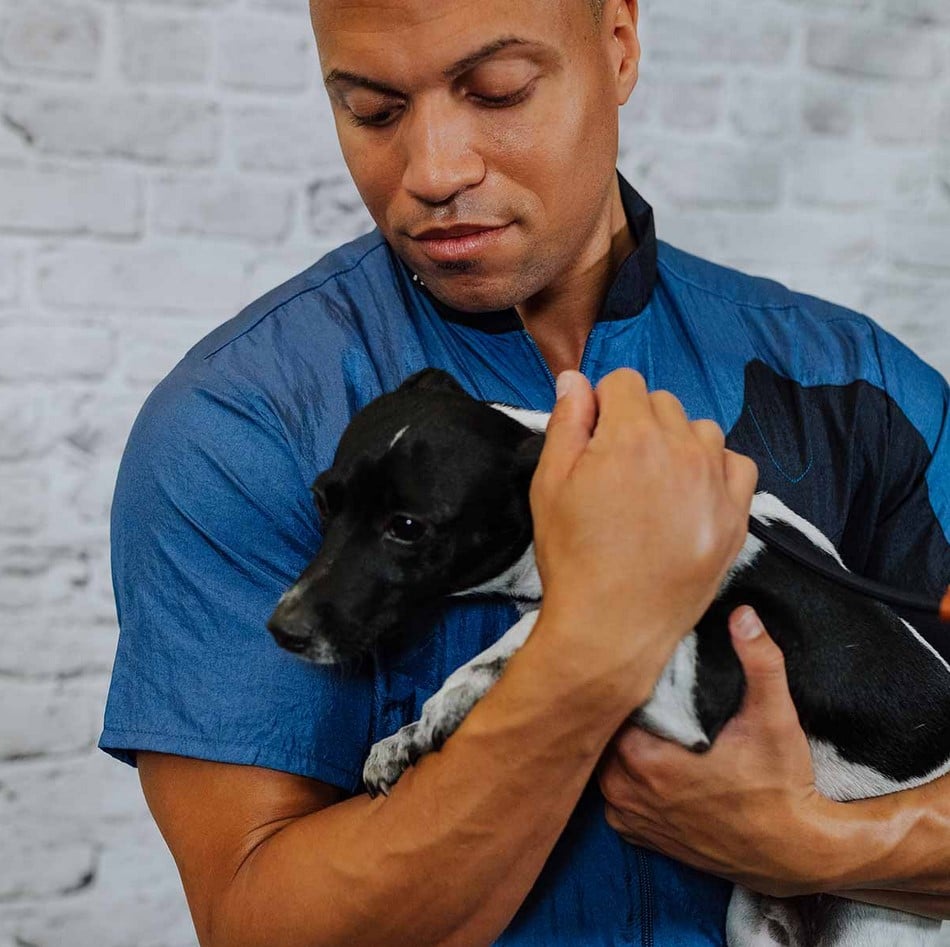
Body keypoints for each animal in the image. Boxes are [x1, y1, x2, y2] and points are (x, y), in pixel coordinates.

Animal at [268, 368, 950, 947]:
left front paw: (446, 701)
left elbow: (533, 638)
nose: (282, 629)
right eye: (323, 501)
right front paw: (404, 738)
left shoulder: (698, 682)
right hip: (752, 923)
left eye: (407, 527)